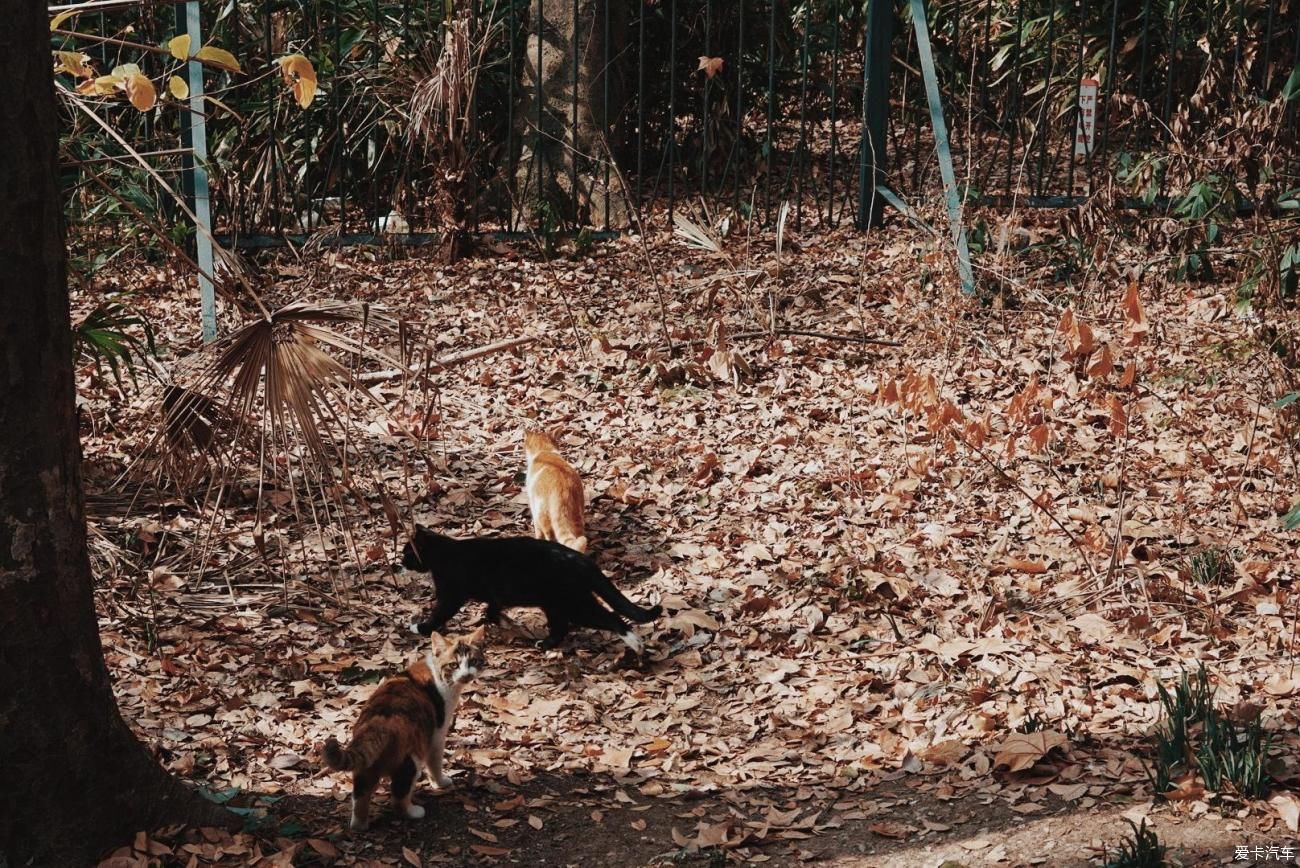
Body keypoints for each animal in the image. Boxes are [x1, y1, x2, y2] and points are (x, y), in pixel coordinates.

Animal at [323, 626, 488, 831]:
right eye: (454, 665)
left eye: (473, 661)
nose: (466, 675)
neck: (438, 674)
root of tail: (380, 719)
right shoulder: (437, 735)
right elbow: (435, 764)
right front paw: (441, 783)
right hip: (411, 760)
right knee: (398, 796)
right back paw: (414, 812)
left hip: (365, 766)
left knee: (360, 795)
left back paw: (359, 825)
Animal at [395, 524, 665, 654]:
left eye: (407, 553)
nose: (399, 562)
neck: (444, 553)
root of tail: (582, 559)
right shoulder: (495, 593)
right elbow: (493, 605)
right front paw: (496, 619)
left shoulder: (451, 593)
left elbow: (439, 613)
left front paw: (420, 627)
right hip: (556, 604)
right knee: (562, 627)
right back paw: (545, 644)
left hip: (574, 603)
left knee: (611, 618)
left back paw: (635, 643)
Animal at [525, 428, 592, 556]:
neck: (544, 451)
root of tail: (564, 489)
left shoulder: (533, 504)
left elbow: (537, 529)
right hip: (577, 515)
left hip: (542, 512)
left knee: (549, 534)